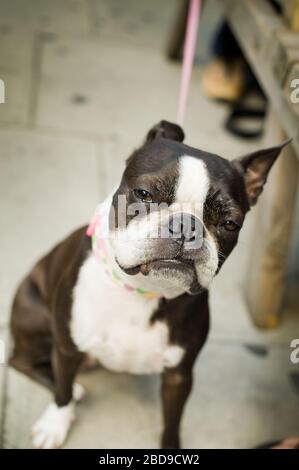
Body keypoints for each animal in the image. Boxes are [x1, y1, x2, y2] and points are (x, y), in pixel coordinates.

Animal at [9, 121, 290, 448]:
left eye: (230, 223)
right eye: (144, 193)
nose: (186, 225)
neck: (144, 290)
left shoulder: (179, 375)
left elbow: (172, 423)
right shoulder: (67, 348)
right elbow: (63, 391)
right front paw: (55, 423)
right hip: (36, 317)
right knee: (19, 360)